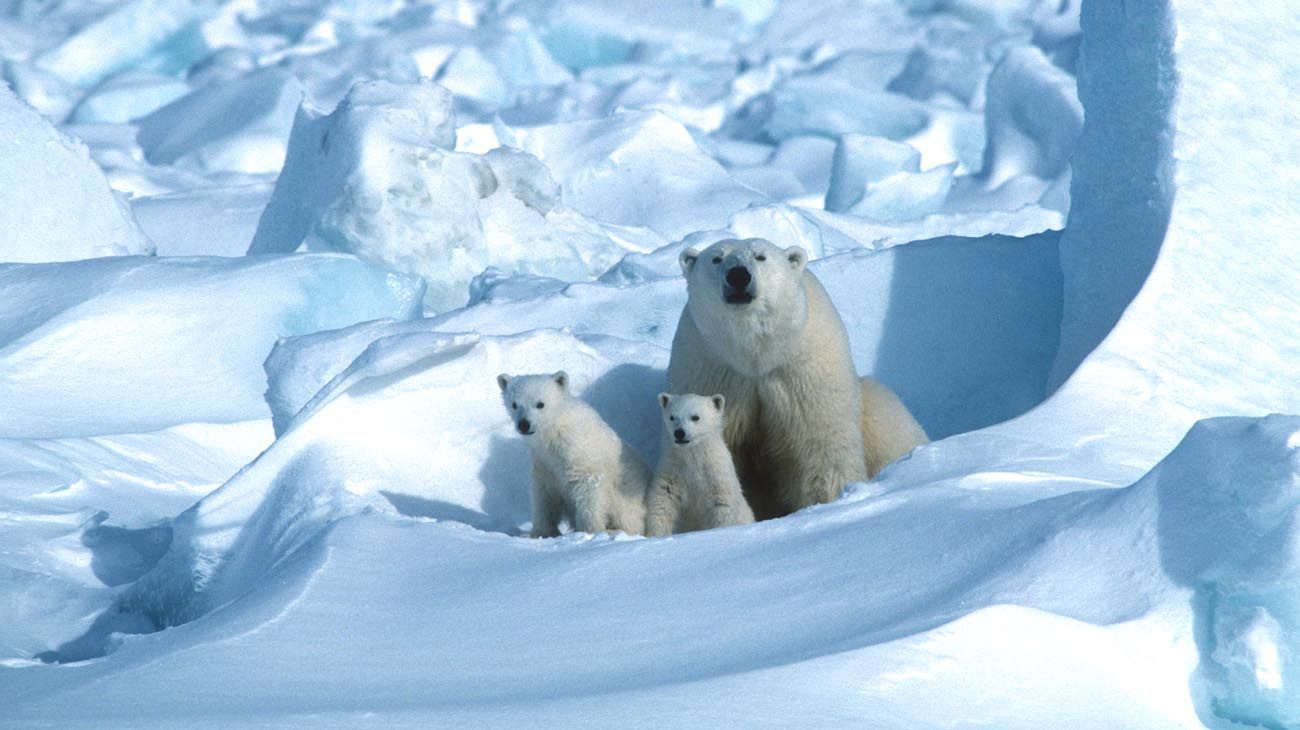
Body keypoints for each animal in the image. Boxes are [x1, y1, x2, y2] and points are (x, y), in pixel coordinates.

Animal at [496, 368, 650, 535]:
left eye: (540, 404)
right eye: (514, 404)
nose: (524, 424)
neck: (554, 432)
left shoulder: (579, 454)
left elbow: (589, 489)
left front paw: (590, 531)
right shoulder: (544, 461)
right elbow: (545, 495)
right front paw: (540, 532)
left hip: (626, 496)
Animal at [644, 392, 759, 535]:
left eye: (695, 417)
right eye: (672, 417)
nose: (679, 433)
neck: (693, 456)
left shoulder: (715, 475)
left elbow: (722, 505)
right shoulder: (672, 471)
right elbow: (663, 499)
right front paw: (656, 534)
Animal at [665, 236, 930, 514]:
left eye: (760, 256)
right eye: (717, 258)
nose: (738, 275)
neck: (756, 354)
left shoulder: (803, 371)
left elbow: (820, 445)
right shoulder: (712, 369)